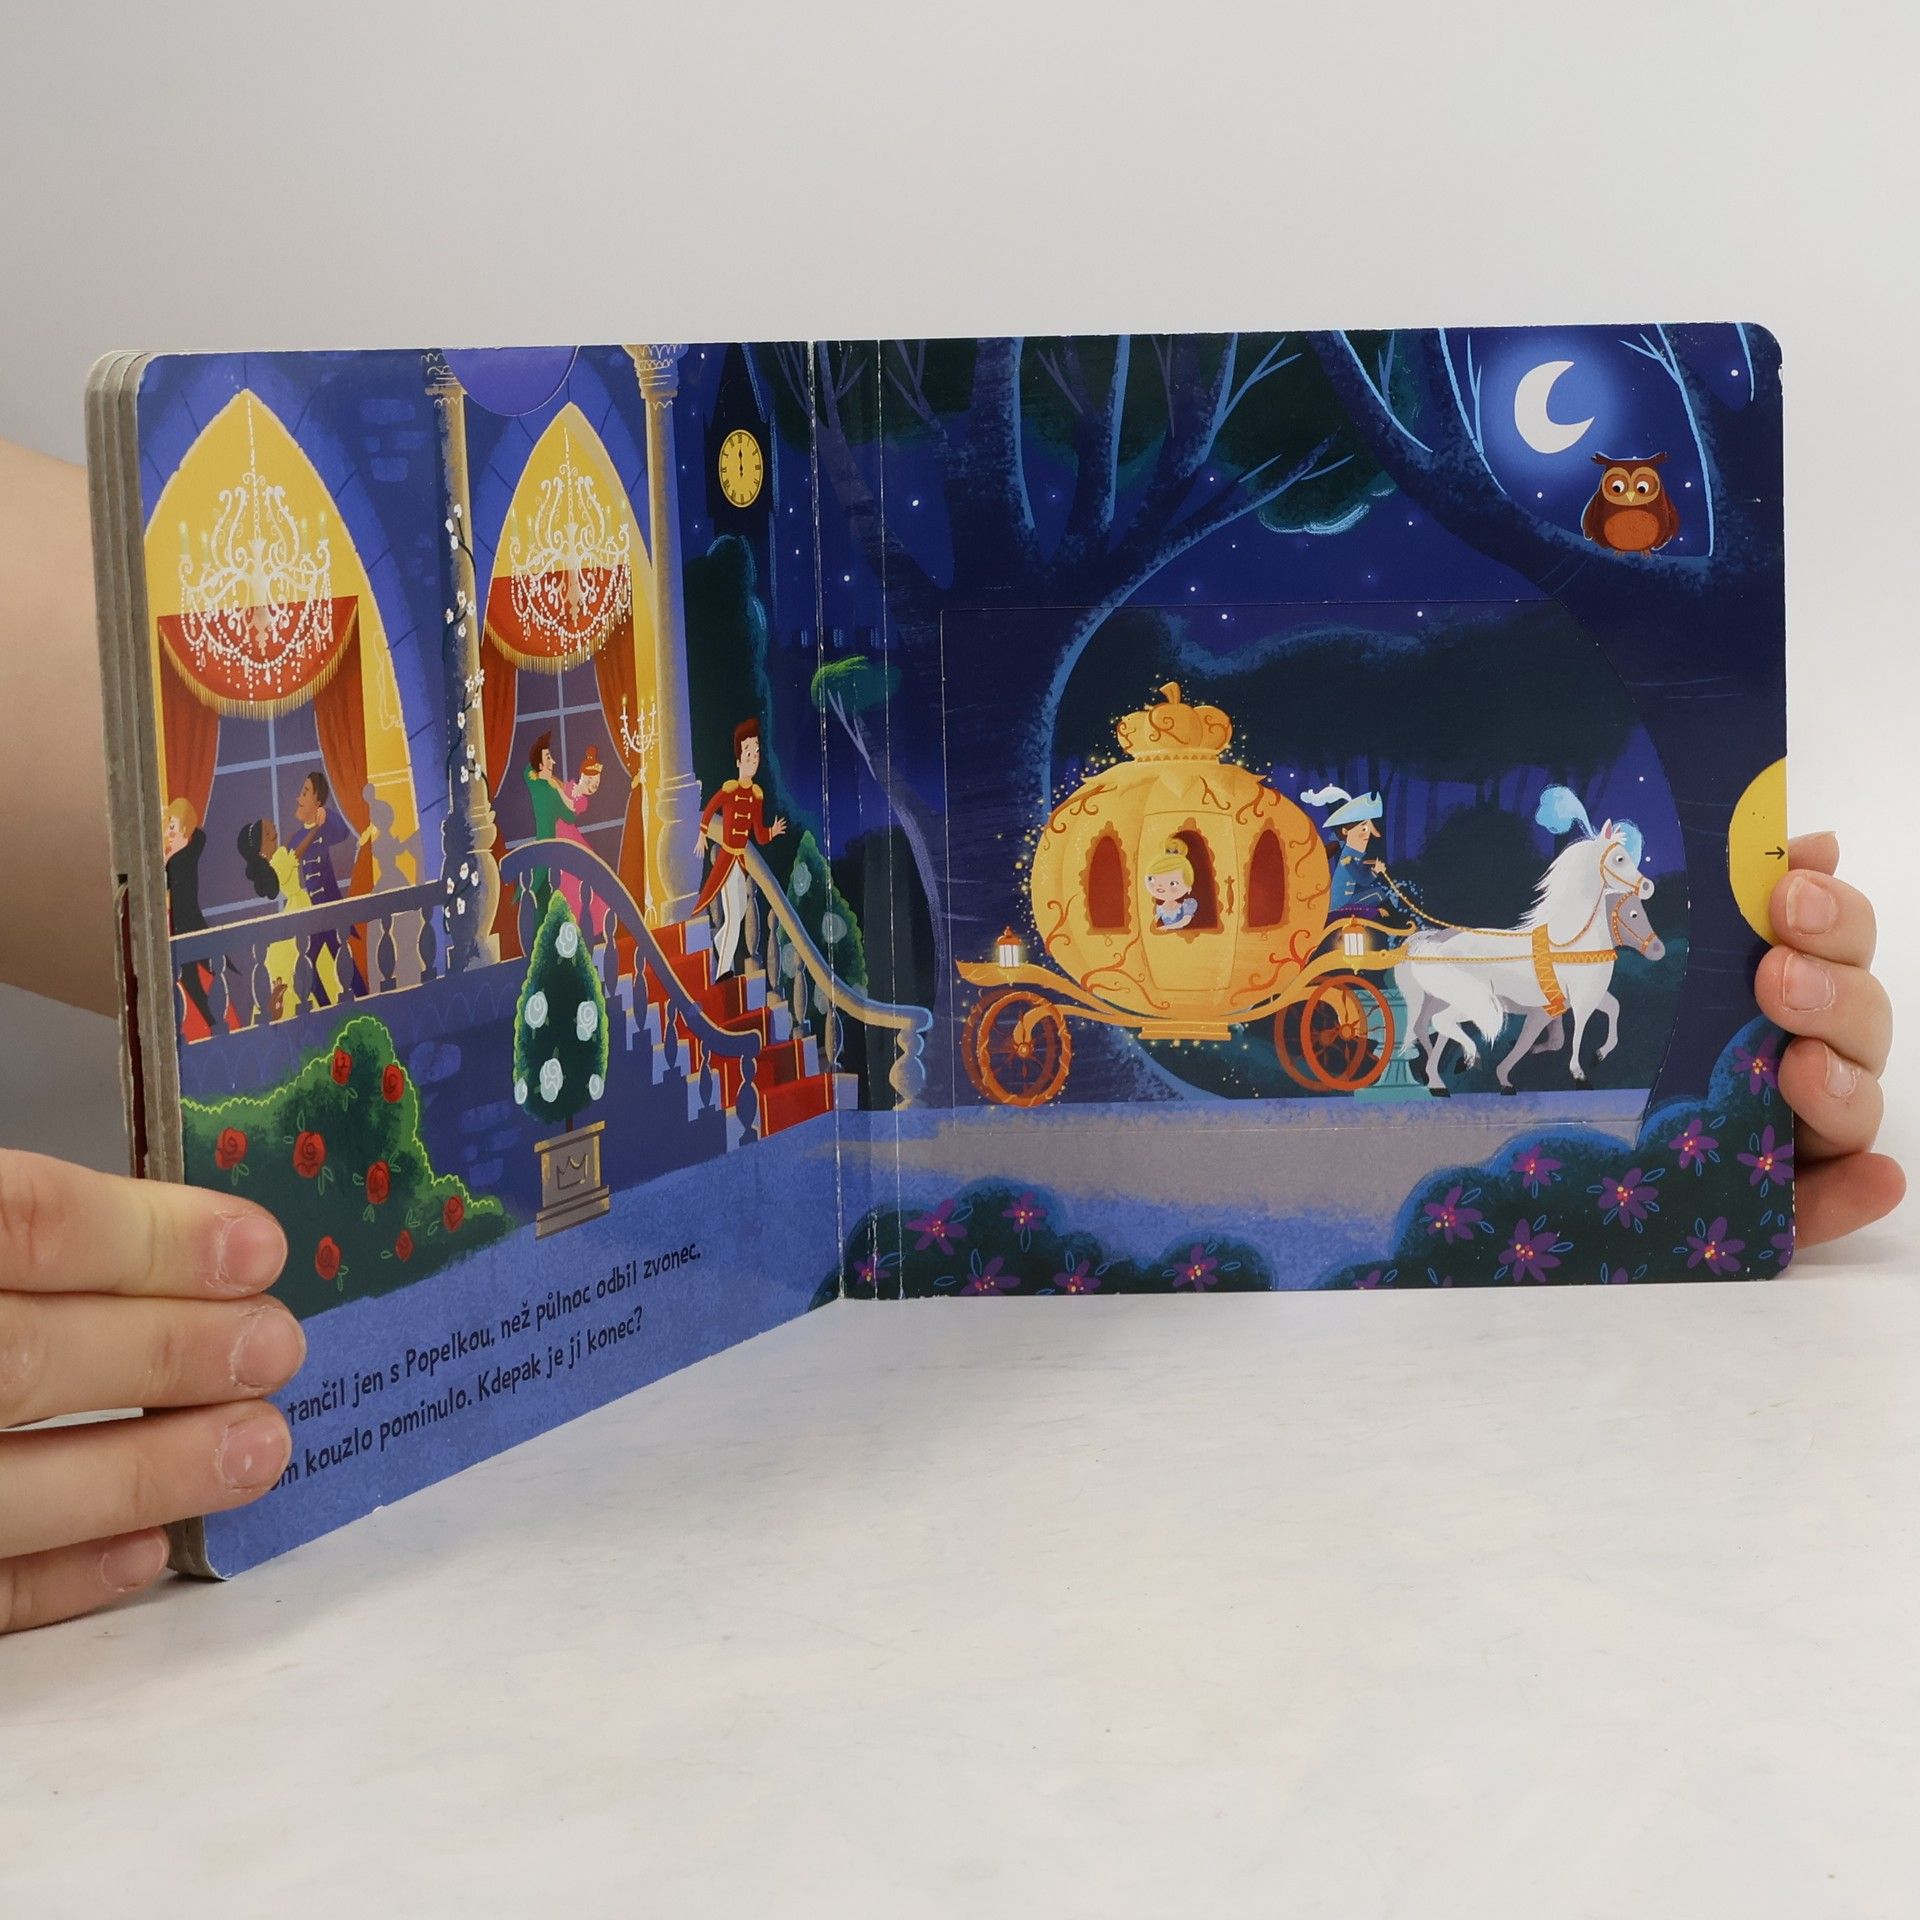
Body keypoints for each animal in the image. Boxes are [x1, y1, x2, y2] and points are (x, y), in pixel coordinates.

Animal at [1393, 824, 1664, 1096]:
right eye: (1619, 858)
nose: (1648, 886)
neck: (1571, 943)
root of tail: (1433, 944)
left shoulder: (1582, 997)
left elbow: (1608, 1011)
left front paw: (1597, 1055)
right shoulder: (1579, 1000)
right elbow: (1575, 1031)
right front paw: (1578, 1075)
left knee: (1431, 1028)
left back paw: (1445, 1075)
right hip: (1474, 1000)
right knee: (1438, 1023)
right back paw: (1460, 1064)